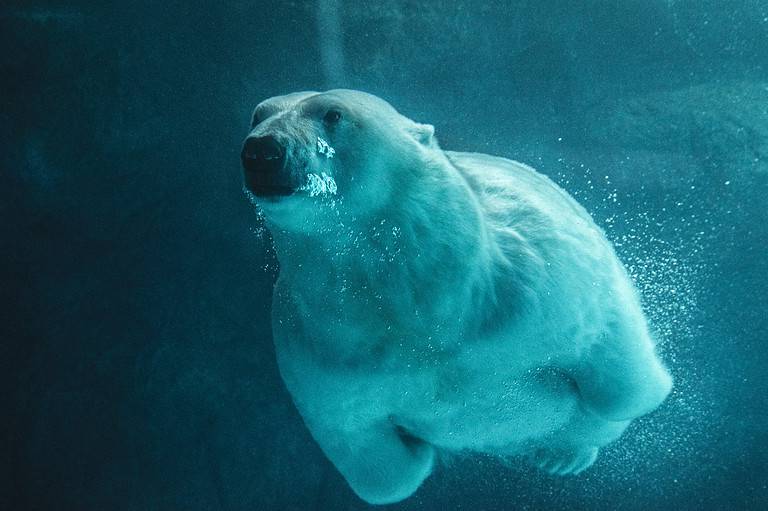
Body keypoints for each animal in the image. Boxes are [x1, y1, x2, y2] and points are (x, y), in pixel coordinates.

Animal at [240, 89, 673, 505]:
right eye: (258, 114)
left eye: (333, 113)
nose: (262, 150)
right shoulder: (320, 350)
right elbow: (370, 457)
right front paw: (422, 453)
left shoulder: (536, 280)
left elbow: (611, 353)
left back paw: (563, 454)